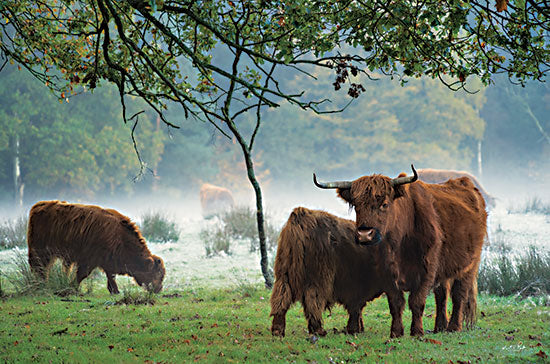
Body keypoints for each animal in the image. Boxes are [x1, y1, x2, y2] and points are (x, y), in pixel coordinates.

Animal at [27, 200, 166, 294]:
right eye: (158, 273)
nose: (159, 289)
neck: (121, 238)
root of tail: (39, 206)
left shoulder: (109, 261)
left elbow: (111, 276)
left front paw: (114, 291)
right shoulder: (89, 260)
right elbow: (82, 274)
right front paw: (73, 287)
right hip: (40, 251)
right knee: (39, 267)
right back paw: (41, 285)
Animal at [272, 206, 388, 336]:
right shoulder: (357, 288)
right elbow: (356, 309)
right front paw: (354, 329)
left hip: (284, 273)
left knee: (281, 298)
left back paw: (277, 330)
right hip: (320, 276)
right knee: (313, 300)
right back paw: (319, 330)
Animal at [314, 166, 488, 336]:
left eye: (384, 204)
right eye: (356, 205)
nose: (364, 235)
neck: (399, 243)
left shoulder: (427, 269)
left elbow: (417, 301)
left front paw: (417, 331)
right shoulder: (386, 272)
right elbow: (395, 303)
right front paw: (396, 332)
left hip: (470, 265)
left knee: (459, 295)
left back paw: (453, 327)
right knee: (442, 295)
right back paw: (440, 327)